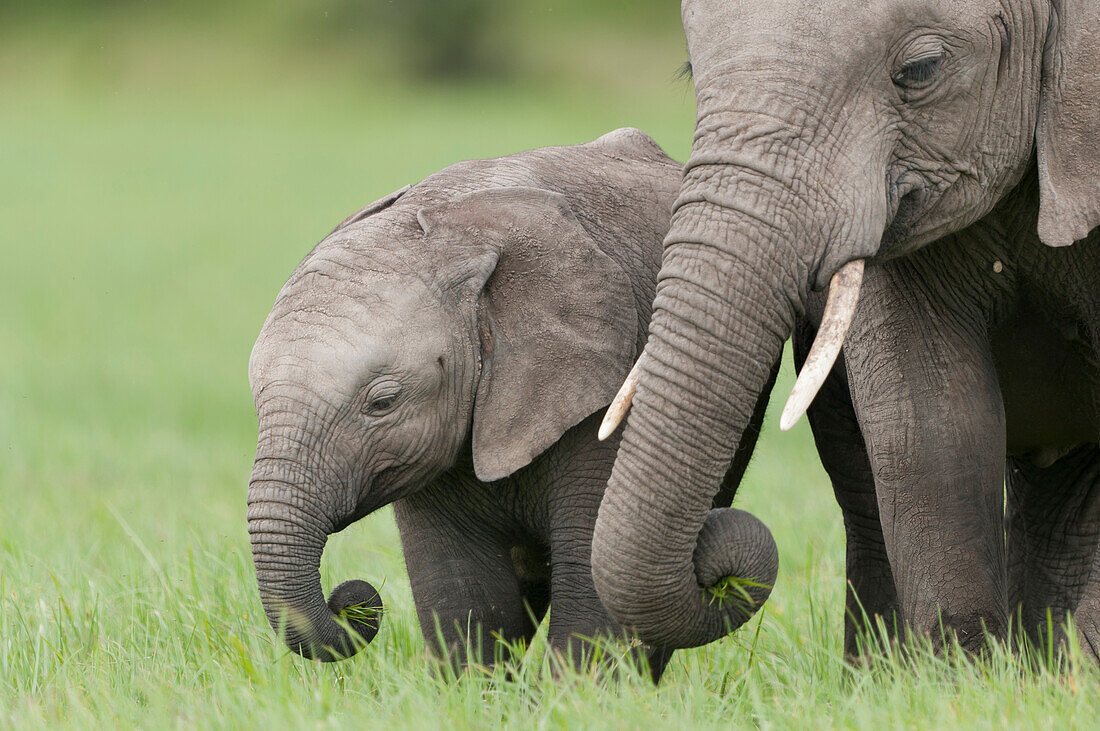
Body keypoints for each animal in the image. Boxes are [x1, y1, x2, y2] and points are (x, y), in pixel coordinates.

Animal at [245, 129, 778, 677]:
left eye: (383, 402)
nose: (353, 603)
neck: (457, 236)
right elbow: (463, 587)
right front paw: (472, 688)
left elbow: (593, 568)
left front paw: (582, 692)